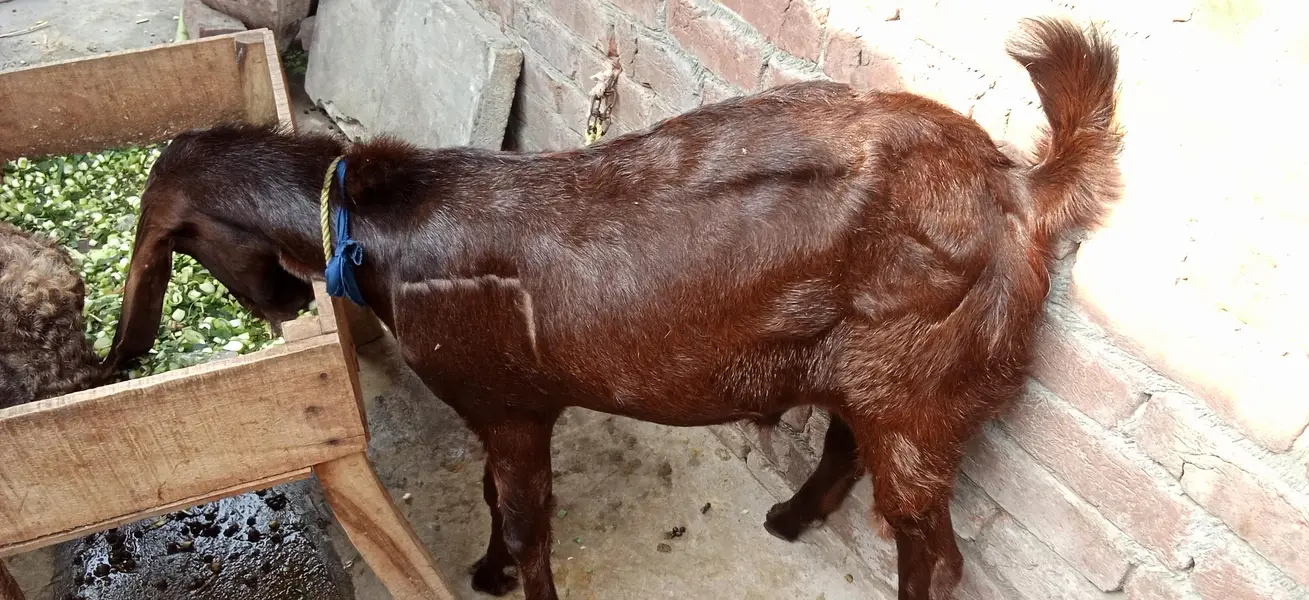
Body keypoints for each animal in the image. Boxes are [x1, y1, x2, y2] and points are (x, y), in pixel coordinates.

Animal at [103, 18, 1121, 600]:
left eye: (187, 248)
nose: (280, 298)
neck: (377, 220)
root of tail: (1022, 186)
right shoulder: (502, 409)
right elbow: (492, 495)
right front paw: (485, 571)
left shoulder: (507, 403)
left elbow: (526, 517)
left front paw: (505, 575)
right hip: (876, 367)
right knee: (845, 443)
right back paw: (787, 520)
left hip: (924, 380)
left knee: (931, 549)